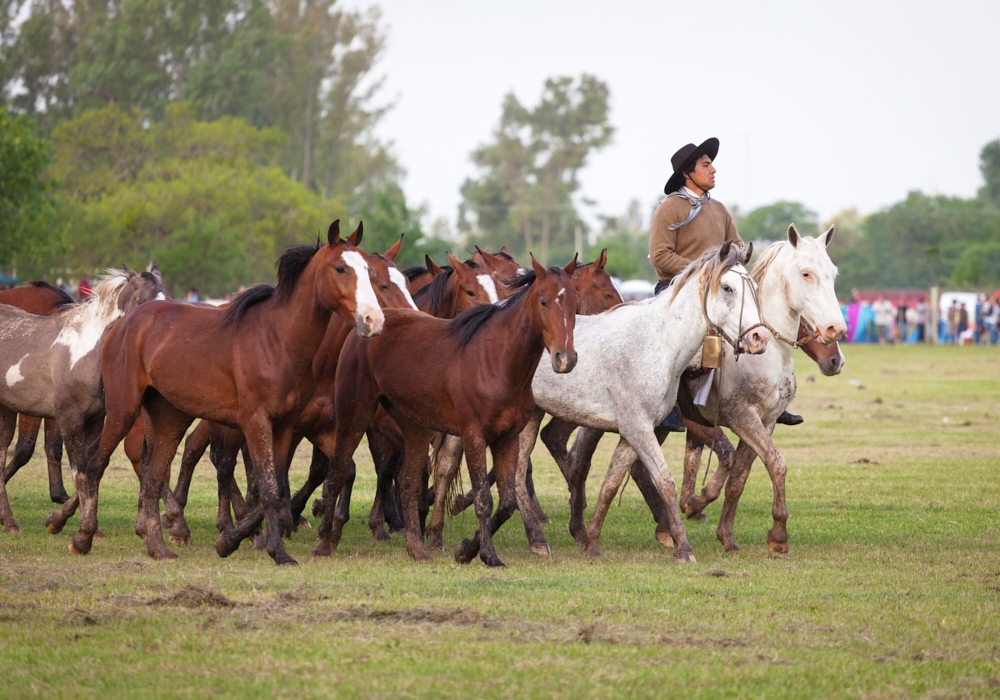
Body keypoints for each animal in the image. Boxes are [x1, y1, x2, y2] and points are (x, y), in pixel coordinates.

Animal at [0, 270, 166, 532]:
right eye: (141, 302)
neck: (83, 352)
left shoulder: (95, 421)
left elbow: (91, 471)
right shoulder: (68, 420)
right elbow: (79, 473)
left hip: (6, 410)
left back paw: (8, 521)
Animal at [316, 258, 576, 568]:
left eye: (574, 305)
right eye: (544, 301)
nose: (565, 358)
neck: (496, 360)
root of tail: (368, 330)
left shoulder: (507, 439)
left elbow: (507, 501)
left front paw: (467, 548)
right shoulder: (474, 435)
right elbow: (484, 499)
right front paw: (488, 555)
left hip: (413, 427)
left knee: (407, 482)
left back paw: (417, 549)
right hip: (354, 415)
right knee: (338, 471)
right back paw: (324, 541)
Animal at [512, 242, 768, 564]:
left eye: (755, 288)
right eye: (727, 287)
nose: (759, 338)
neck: (657, 344)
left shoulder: (630, 434)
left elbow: (610, 484)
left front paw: (591, 541)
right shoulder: (640, 429)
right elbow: (665, 482)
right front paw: (683, 547)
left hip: (533, 417)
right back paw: (536, 538)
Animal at [564, 227, 844, 556]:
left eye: (833, 274)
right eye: (806, 273)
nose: (836, 332)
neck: (768, 354)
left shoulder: (765, 421)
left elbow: (739, 475)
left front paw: (726, 535)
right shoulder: (735, 416)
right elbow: (769, 463)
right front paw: (776, 533)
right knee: (580, 462)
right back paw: (581, 529)